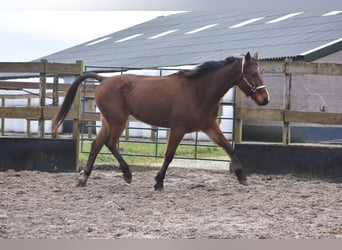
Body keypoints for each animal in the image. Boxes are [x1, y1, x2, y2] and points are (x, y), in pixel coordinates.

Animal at [51, 52, 270, 189]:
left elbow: (228, 147)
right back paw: (127, 174)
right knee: (110, 143)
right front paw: (158, 182)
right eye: (253, 73)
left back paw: (84, 178)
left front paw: (242, 176)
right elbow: (169, 155)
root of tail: (104, 80)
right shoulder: (178, 128)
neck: (198, 91)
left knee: (97, 145)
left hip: (107, 121)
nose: (265, 99)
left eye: (261, 72)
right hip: (118, 121)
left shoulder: (209, 126)